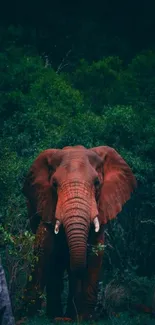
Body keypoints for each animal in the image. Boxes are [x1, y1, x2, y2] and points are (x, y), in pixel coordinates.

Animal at [21, 144, 137, 318]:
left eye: (97, 182)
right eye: (54, 184)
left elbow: (96, 252)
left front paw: (84, 318)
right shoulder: (46, 203)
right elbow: (43, 250)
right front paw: (27, 317)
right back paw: (57, 316)